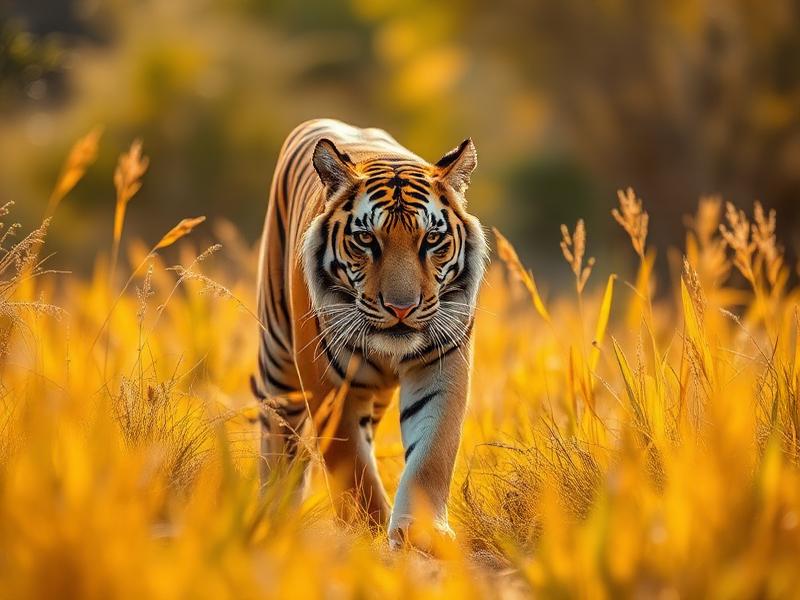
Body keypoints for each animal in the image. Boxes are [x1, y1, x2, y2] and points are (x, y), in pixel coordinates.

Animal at [252, 118, 487, 547]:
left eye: (431, 240)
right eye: (365, 239)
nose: (401, 308)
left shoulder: (443, 362)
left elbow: (432, 451)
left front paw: (421, 534)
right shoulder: (329, 382)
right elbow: (350, 463)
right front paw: (369, 529)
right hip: (279, 360)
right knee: (279, 434)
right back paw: (275, 508)